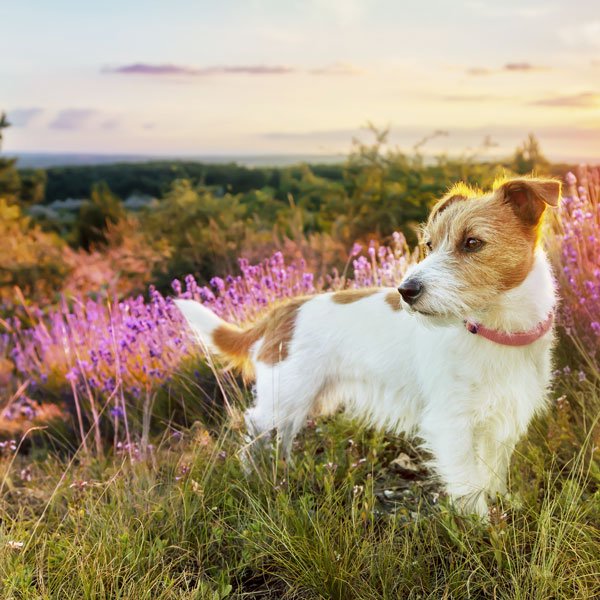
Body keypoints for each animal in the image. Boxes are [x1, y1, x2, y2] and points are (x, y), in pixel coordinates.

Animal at [176, 177, 560, 516]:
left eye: (472, 243)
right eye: (429, 245)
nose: (406, 290)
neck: (494, 330)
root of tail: (282, 310)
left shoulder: (504, 416)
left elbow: (494, 470)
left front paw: (504, 503)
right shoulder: (452, 423)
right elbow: (468, 484)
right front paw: (481, 528)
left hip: (294, 403)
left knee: (279, 438)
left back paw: (281, 473)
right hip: (283, 397)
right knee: (254, 432)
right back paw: (254, 476)